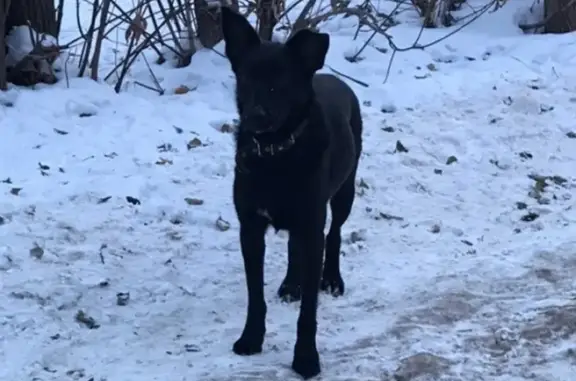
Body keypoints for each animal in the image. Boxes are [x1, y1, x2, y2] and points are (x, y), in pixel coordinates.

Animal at [222, 5, 362, 378]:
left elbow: (308, 314)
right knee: (293, 248)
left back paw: (332, 279)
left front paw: (306, 358)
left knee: (335, 233)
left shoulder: (311, 224)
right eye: (246, 79)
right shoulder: (250, 228)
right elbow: (255, 296)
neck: (276, 154)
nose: (255, 117)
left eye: (279, 85)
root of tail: (333, 78)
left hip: (344, 192)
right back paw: (291, 284)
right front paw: (251, 338)